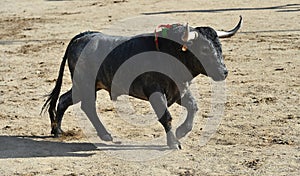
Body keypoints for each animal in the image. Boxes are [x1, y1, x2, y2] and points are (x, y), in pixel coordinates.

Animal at [42, 16, 243, 148]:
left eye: (219, 47)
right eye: (204, 49)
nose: (223, 72)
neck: (171, 53)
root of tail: (83, 36)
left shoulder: (179, 90)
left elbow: (193, 107)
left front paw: (181, 132)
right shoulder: (155, 92)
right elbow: (166, 116)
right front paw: (174, 143)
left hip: (87, 85)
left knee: (66, 100)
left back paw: (59, 131)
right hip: (85, 84)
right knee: (85, 105)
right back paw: (94, 133)